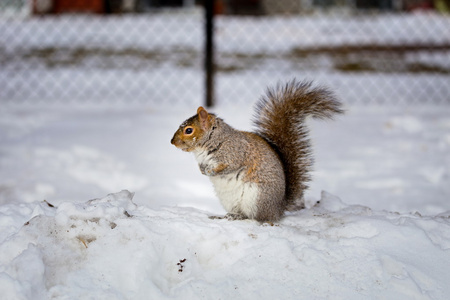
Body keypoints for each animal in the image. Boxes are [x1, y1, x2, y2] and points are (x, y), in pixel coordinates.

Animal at [171, 79, 342, 223]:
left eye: (188, 130)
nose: (172, 142)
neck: (205, 146)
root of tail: (278, 208)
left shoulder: (235, 153)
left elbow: (229, 167)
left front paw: (212, 171)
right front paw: (202, 170)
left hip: (257, 198)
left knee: (256, 217)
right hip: (232, 201)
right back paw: (228, 216)